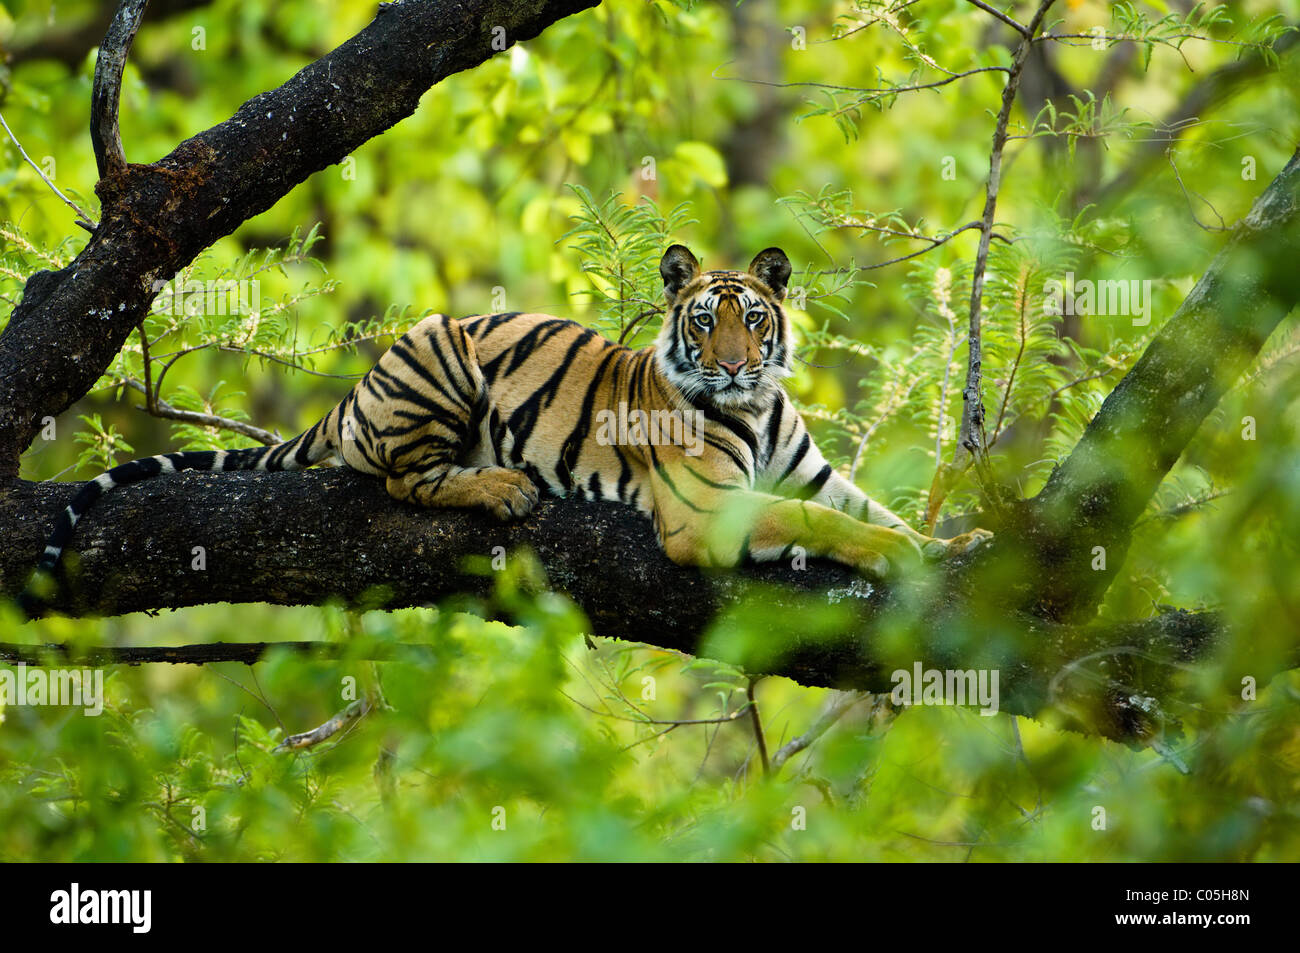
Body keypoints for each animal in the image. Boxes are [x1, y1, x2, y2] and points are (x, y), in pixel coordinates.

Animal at [17, 245, 993, 616]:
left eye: (753, 320)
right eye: (704, 320)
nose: (731, 366)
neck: (754, 409)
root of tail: (354, 389)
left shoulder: (806, 469)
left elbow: (864, 509)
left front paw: (956, 543)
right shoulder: (709, 512)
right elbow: (823, 523)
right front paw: (899, 556)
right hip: (441, 351)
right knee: (402, 476)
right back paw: (504, 487)